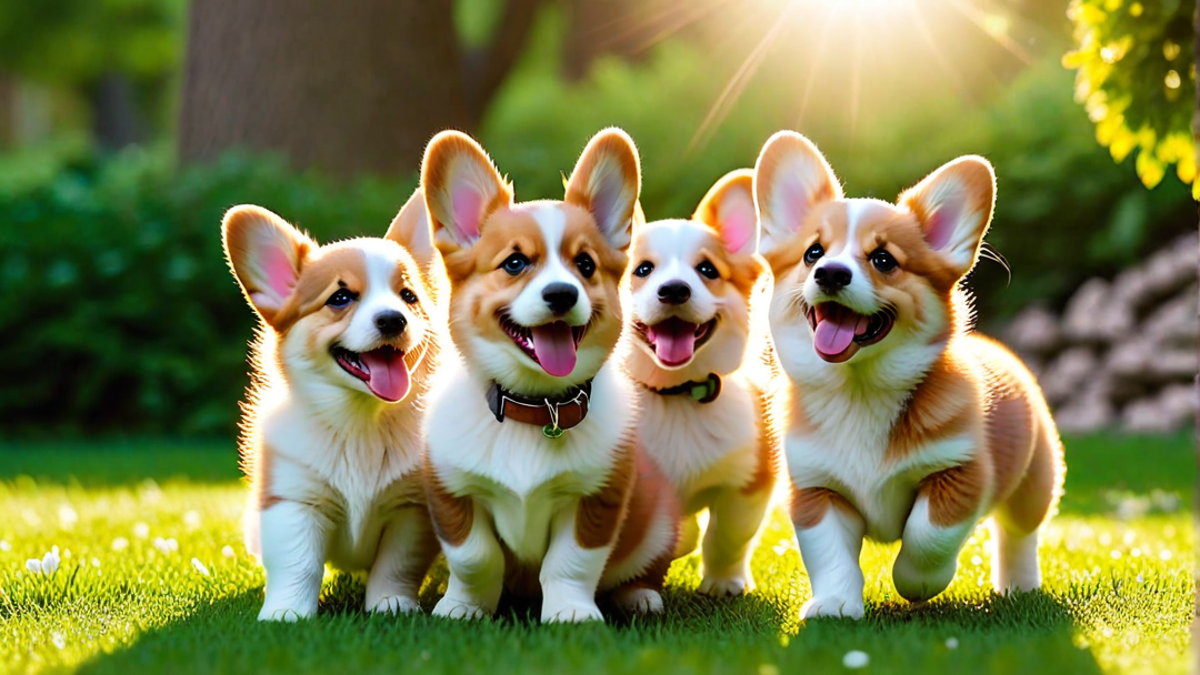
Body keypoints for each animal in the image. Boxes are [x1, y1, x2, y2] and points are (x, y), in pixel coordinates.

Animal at [223, 189, 444, 619]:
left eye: (408, 296)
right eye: (340, 298)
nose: (393, 319)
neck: (361, 423)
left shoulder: (409, 512)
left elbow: (395, 567)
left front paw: (392, 606)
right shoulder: (294, 503)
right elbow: (298, 566)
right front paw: (285, 614)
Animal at [422, 128, 686, 624]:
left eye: (585, 265)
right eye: (514, 263)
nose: (562, 294)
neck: (535, 405)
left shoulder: (596, 499)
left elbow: (570, 563)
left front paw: (571, 613)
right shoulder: (454, 492)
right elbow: (475, 558)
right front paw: (463, 607)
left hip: (659, 523)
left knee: (641, 569)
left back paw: (638, 597)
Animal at [624, 168, 782, 593]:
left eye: (707, 270)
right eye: (642, 269)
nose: (674, 290)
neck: (675, 393)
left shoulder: (751, 479)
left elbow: (727, 536)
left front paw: (724, 582)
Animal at [753, 128, 1065, 619]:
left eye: (883, 260)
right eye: (813, 253)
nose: (830, 273)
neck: (860, 392)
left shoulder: (959, 473)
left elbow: (927, 534)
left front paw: (916, 582)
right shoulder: (816, 491)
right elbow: (830, 555)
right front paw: (835, 605)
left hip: (1034, 483)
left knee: (1018, 534)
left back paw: (1019, 586)